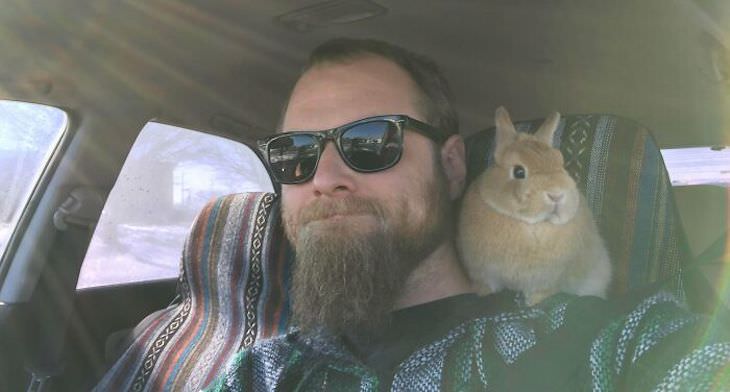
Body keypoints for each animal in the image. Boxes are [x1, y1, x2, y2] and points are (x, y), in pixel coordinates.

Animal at [458, 107, 612, 306]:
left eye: (560, 162)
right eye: (519, 172)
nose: (556, 194)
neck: (529, 224)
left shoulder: (547, 281)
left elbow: (542, 293)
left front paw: (532, 303)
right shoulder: (483, 273)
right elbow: (486, 286)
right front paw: (483, 294)